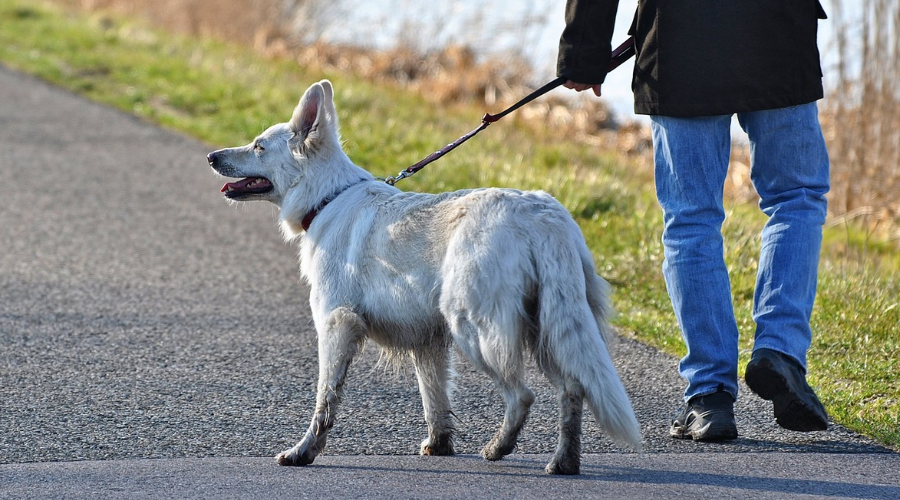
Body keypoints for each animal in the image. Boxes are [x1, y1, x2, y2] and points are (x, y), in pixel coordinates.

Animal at [206, 80, 640, 474]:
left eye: (259, 146)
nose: (211, 156)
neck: (327, 197)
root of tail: (543, 215)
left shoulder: (336, 325)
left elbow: (325, 399)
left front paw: (304, 452)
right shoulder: (427, 342)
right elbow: (435, 401)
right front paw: (439, 446)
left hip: (476, 329)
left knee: (523, 396)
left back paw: (499, 448)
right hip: (548, 329)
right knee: (572, 389)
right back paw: (563, 461)